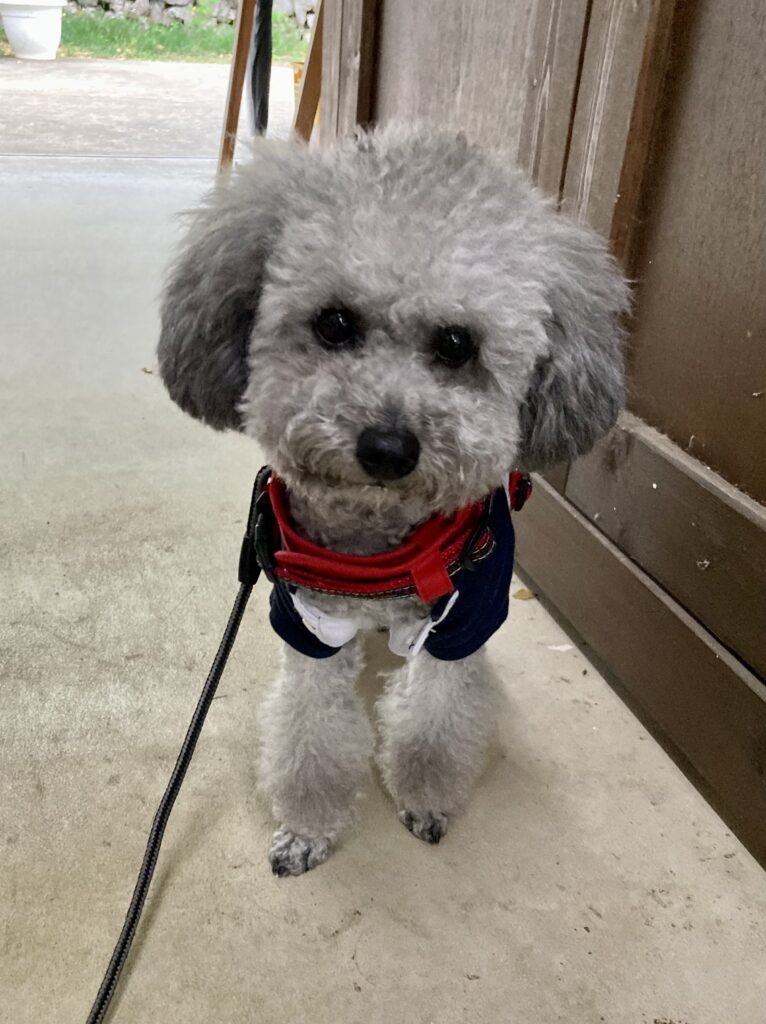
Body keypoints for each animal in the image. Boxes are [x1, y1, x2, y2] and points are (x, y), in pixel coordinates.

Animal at [158, 128, 629, 876]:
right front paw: (308, 827)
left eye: (458, 343)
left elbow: (435, 723)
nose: (386, 447)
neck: (378, 542)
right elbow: (311, 732)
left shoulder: (464, 620)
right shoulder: (307, 623)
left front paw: (426, 799)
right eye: (334, 323)